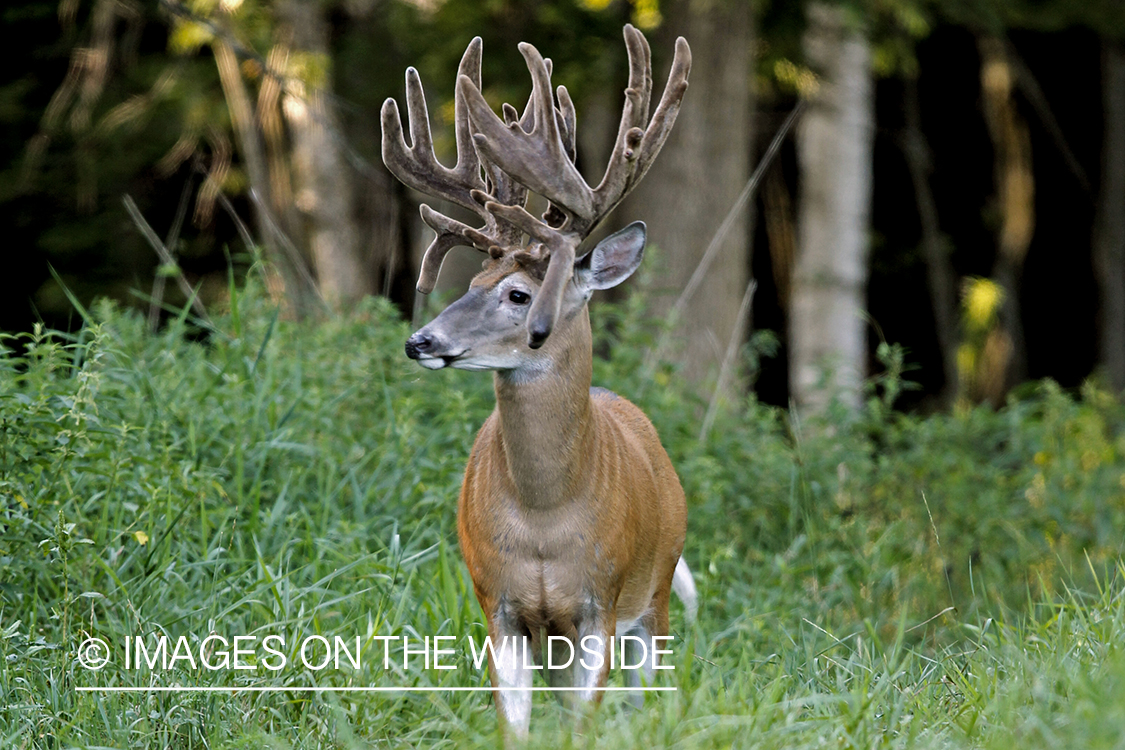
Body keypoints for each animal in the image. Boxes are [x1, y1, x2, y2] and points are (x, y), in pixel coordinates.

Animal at [384, 24, 693, 737]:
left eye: (521, 294)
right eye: (471, 281)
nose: (421, 341)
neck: (546, 518)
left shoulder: (600, 604)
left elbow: (586, 724)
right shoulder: (496, 602)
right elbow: (515, 726)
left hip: (658, 591)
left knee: (648, 695)